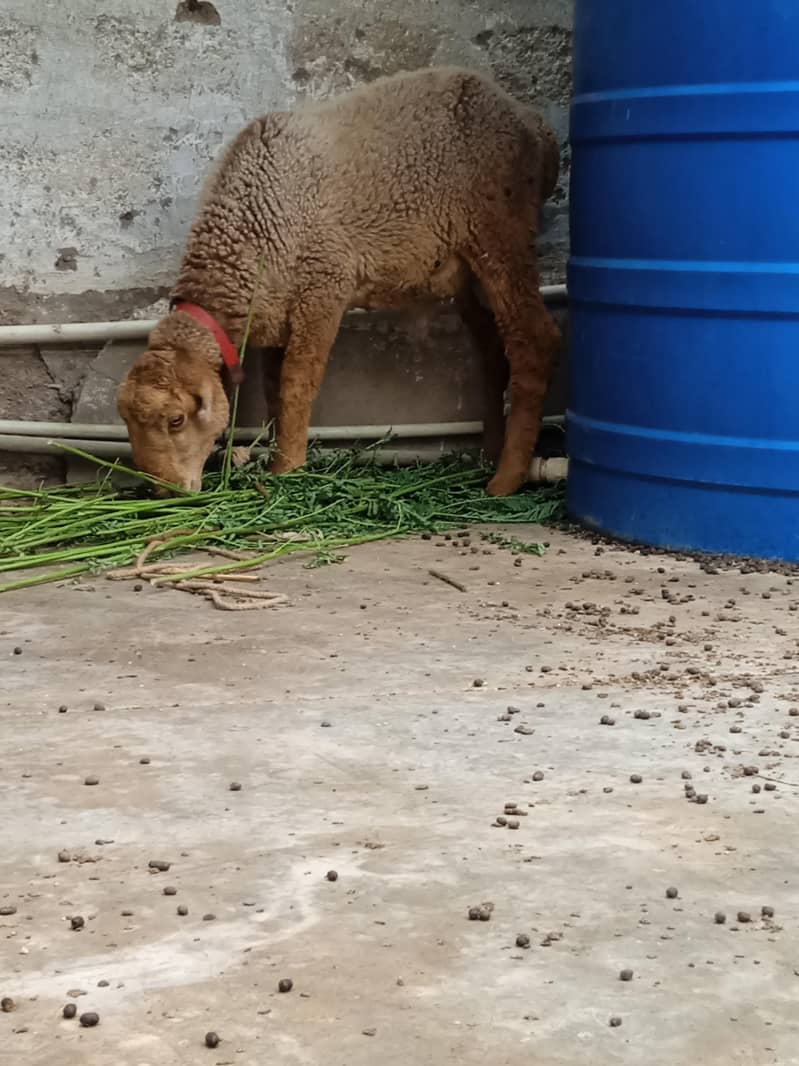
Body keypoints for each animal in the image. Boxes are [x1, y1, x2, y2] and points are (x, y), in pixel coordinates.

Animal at [117, 66, 562, 495]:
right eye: (125, 421)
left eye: (176, 420)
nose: (164, 492)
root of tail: (533, 122)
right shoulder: (279, 311)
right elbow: (275, 390)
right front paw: (279, 457)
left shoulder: (324, 284)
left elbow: (297, 385)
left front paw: (289, 471)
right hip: (467, 269)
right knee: (494, 354)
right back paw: (490, 455)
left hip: (500, 231)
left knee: (533, 341)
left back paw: (506, 479)